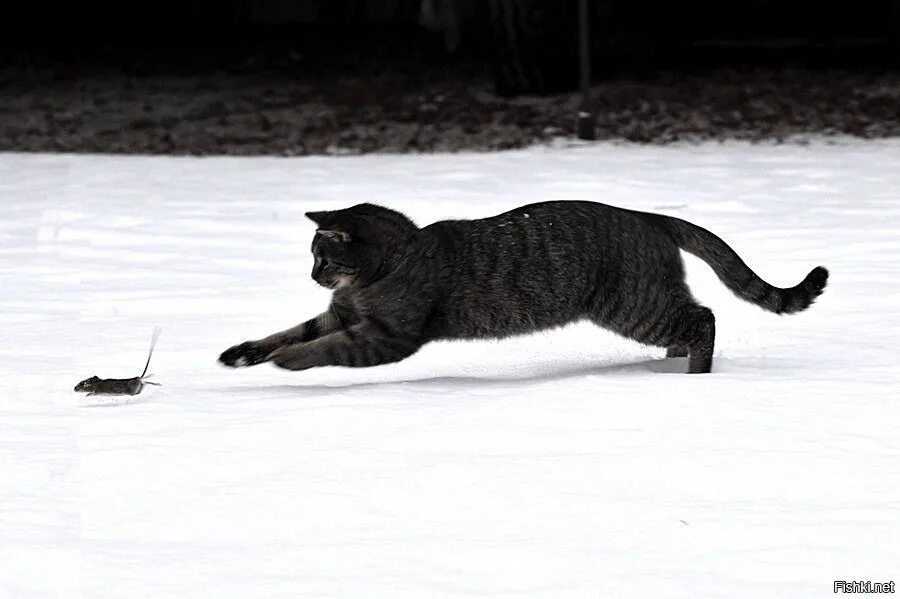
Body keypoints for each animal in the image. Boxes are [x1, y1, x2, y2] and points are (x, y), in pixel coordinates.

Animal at [220, 202, 828, 376]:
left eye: (321, 256)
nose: (312, 276)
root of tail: (646, 214)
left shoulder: (386, 335)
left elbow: (320, 347)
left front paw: (289, 363)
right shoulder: (343, 314)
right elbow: (290, 331)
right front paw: (246, 353)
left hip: (633, 306)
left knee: (704, 319)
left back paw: (695, 375)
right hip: (648, 304)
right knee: (693, 318)